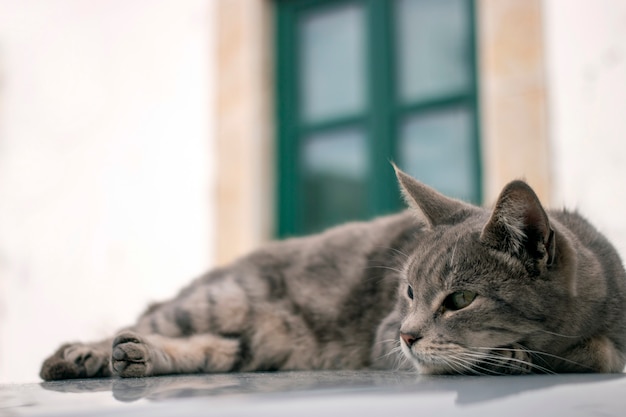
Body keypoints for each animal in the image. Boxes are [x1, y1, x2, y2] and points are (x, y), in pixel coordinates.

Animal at [39, 165, 624, 376]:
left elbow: (598, 351)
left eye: (459, 299)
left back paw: (134, 357)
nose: (409, 335)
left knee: (201, 350)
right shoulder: (386, 334)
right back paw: (83, 354)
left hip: (251, 344)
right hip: (218, 302)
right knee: (147, 321)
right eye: (408, 292)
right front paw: (512, 356)